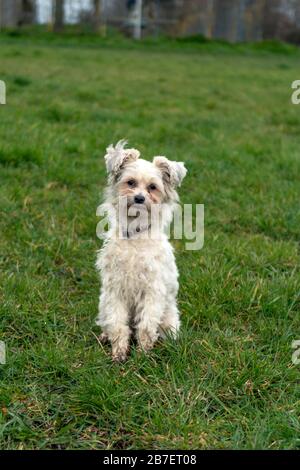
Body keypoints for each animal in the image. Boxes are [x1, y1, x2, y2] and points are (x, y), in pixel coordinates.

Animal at [95, 141, 186, 362]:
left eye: (153, 187)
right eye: (130, 182)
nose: (138, 198)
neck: (135, 236)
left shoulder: (153, 292)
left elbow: (146, 326)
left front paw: (143, 353)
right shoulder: (115, 291)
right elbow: (118, 324)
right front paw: (119, 352)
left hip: (169, 316)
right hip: (103, 302)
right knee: (107, 322)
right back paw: (105, 335)